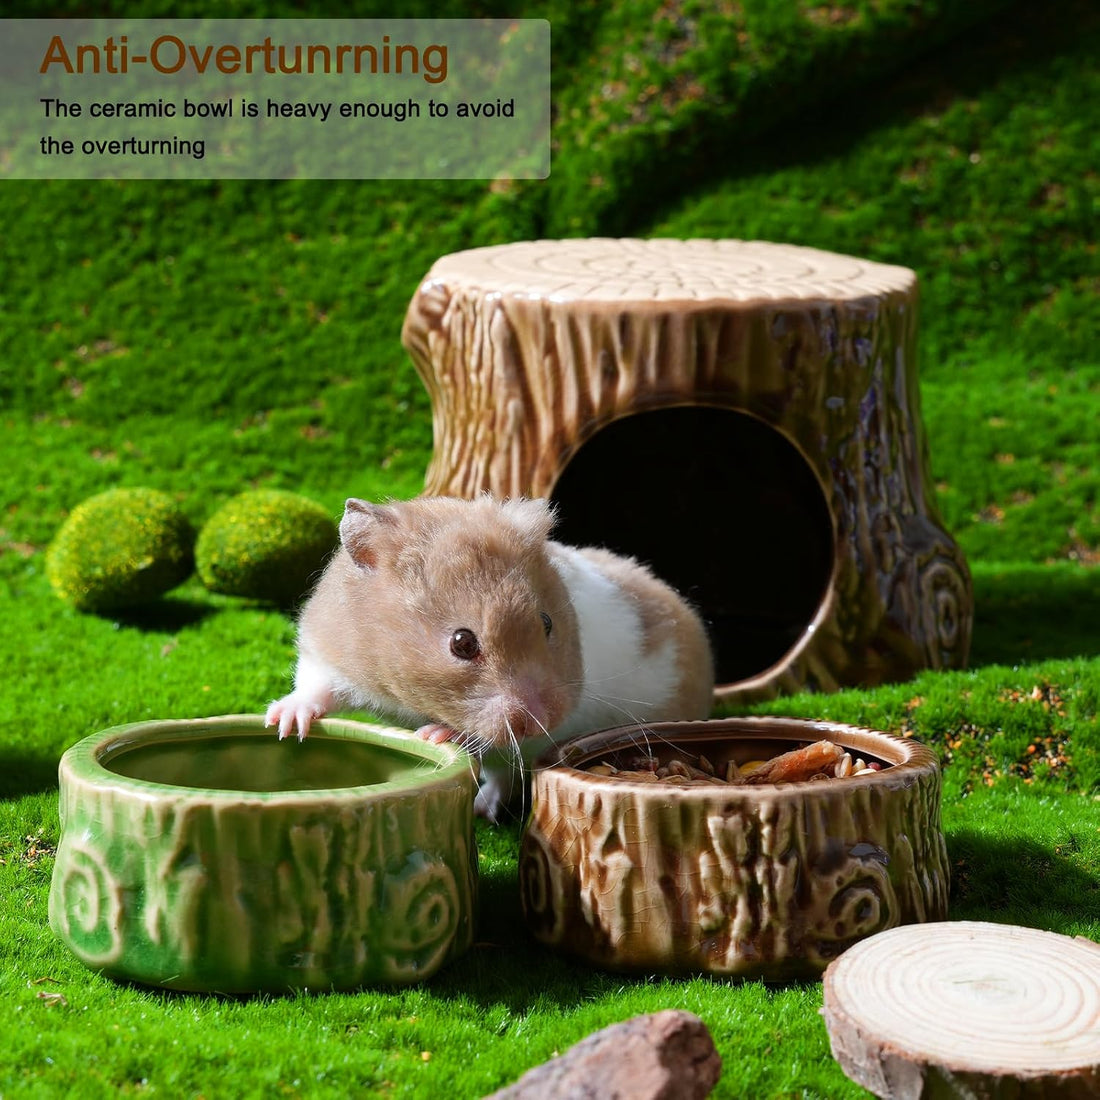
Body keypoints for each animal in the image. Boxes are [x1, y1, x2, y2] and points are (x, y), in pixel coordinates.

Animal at [265, 495, 715, 819]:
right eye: (461, 643)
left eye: (547, 622)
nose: (545, 720)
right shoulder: (328, 649)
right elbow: (315, 687)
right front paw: (284, 725)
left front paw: (434, 734)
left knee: (503, 775)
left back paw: (482, 808)